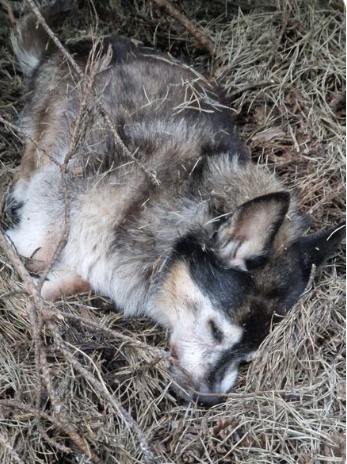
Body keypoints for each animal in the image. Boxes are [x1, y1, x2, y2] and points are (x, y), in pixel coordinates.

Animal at [5, 1, 346, 404]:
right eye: (215, 331)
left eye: (248, 353)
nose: (210, 399)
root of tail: (86, 42)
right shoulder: (65, 183)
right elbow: (39, 249)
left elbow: (52, 284)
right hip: (56, 118)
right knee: (36, 146)